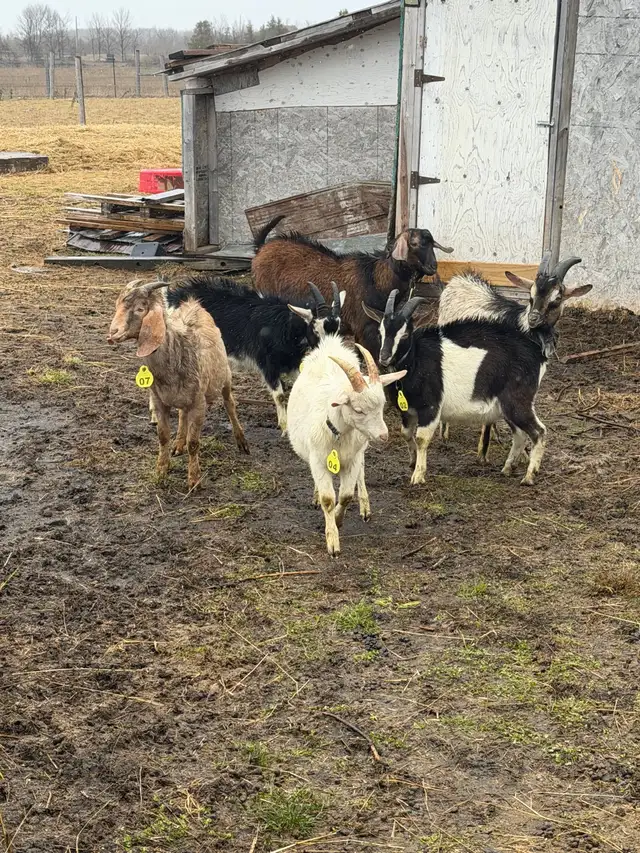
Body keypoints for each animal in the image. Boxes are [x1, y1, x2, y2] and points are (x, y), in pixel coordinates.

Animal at [107, 278, 249, 490]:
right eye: (117, 305)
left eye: (141, 308)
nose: (112, 333)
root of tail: (193, 303)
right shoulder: (159, 401)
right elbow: (163, 436)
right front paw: (161, 471)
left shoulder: (199, 403)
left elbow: (194, 443)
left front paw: (194, 480)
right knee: (182, 414)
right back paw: (178, 444)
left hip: (225, 377)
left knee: (229, 405)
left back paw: (241, 441)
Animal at [165, 275, 345, 433]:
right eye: (316, 330)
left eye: (338, 329)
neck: (284, 326)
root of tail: (173, 297)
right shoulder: (268, 365)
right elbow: (280, 396)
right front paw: (285, 428)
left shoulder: (293, 364)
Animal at [251, 215, 453, 350]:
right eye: (415, 243)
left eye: (432, 244)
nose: (433, 267)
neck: (375, 278)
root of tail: (261, 248)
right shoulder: (365, 328)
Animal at [287, 337, 406, 556]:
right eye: (358, 410)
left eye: (382, 405)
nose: (383, 435)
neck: (338, 434)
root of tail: (331, 344)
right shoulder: (318, 460)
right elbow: (328, 499)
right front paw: (332, 541)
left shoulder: (353, 458)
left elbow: (346, 495)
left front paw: (337, 519)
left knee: (361, 473)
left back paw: (365, 507)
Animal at [362, 255, 590, 486]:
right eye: (381, 331)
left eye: (406, 334)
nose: (384, 357)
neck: (415, 361)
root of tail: (536, 353)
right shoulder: (407, 410)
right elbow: (406, 434)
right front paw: (412, 462)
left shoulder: (430, 407)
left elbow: (421, 438)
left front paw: (418, 476)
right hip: (507, 406)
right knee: (519, 433)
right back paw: (507, 468)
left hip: (518, 401)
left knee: (538, 432)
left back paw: (529, 476)